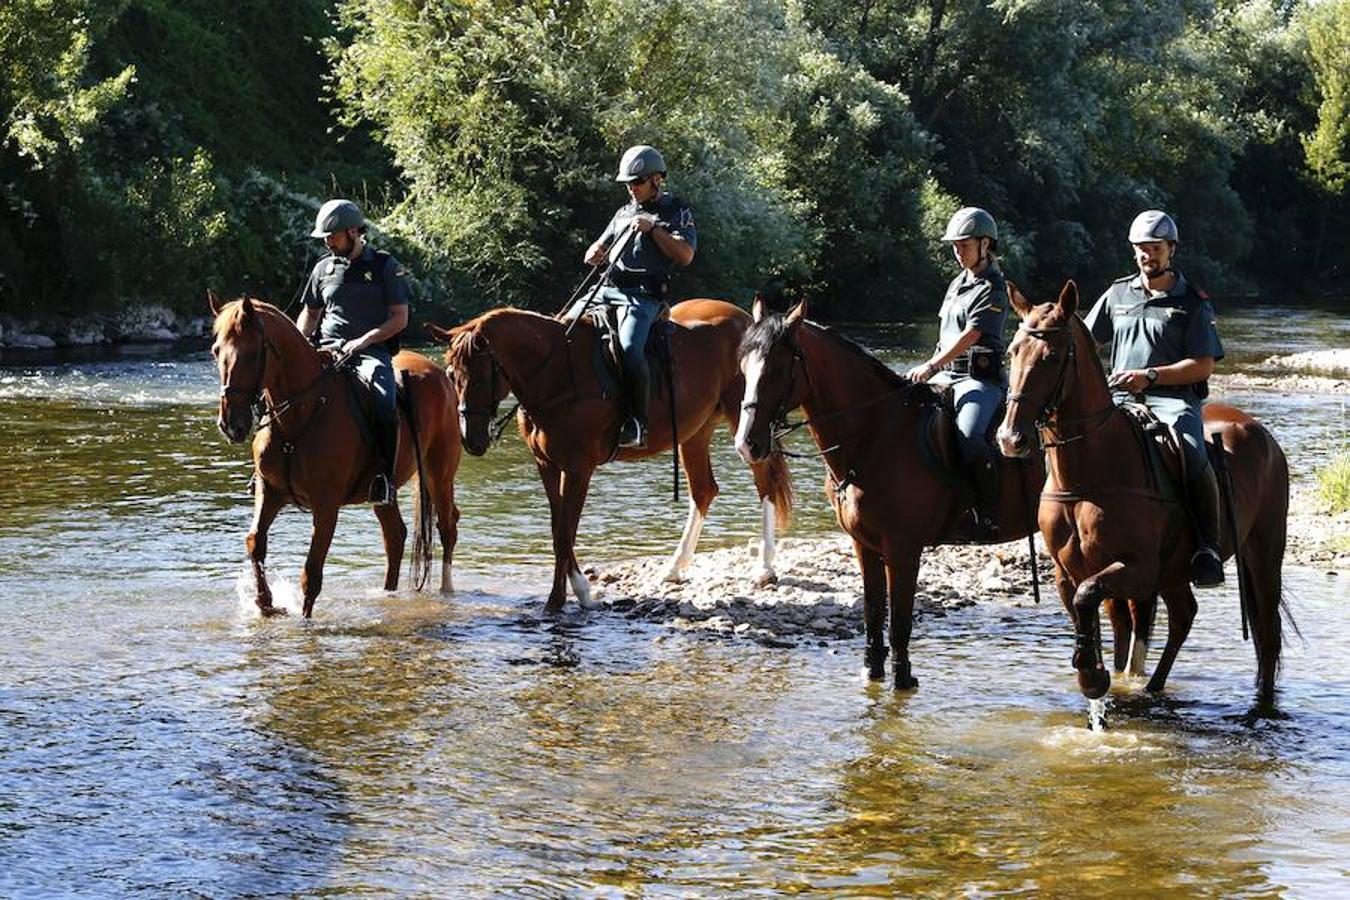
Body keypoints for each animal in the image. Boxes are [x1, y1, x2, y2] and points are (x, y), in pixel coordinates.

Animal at [209, 295, 464, 620]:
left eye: (253, 353)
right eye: (216, 351)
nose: (231, 424)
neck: (299, 416)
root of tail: (439, 374)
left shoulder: (326, 504)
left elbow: (312, 572)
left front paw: (305, 621)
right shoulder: (271, 491)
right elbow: (255, 541)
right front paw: (267, 604)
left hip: (437, 474)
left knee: (447, 526)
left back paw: (447, 591)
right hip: (384, 491)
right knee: (395, 537)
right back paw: (387, 595)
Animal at [429, 302, 788, 612]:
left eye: (480, 375)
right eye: (451, 374)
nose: (471, 440)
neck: (556, 374)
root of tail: (744, 319)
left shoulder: (578, 469)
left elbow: (564, 533)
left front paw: (560, 600)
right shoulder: (547, 466)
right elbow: (558, 527)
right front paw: (579, 592)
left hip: (745, 424)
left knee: (765, 482)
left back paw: (764, 567)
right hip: (694, 433)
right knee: (703, 490)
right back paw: (675, 567)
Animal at [739, 296, 1042, 690]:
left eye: (776, 368)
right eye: (743, 366)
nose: (747, 444)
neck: (876, 436)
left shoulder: (903, 548)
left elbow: (899, 623)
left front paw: (903, 679)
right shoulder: (864, 545)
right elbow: (873, 613)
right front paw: (872, 670)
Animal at [999, 282, 1290, 701]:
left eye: (1051, 356)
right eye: (1013, 351)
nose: (1010, 438)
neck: (1086, 476)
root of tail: (1262, 435)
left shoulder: (1137, 570)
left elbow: (1090, 598)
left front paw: (1092, 675)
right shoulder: (1067, 574)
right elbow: (1093, 615)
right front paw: (1099, 673)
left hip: (1263, 553)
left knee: (1266, 635)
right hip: (1175, 571)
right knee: (1183, 615)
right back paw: (1150, 687)